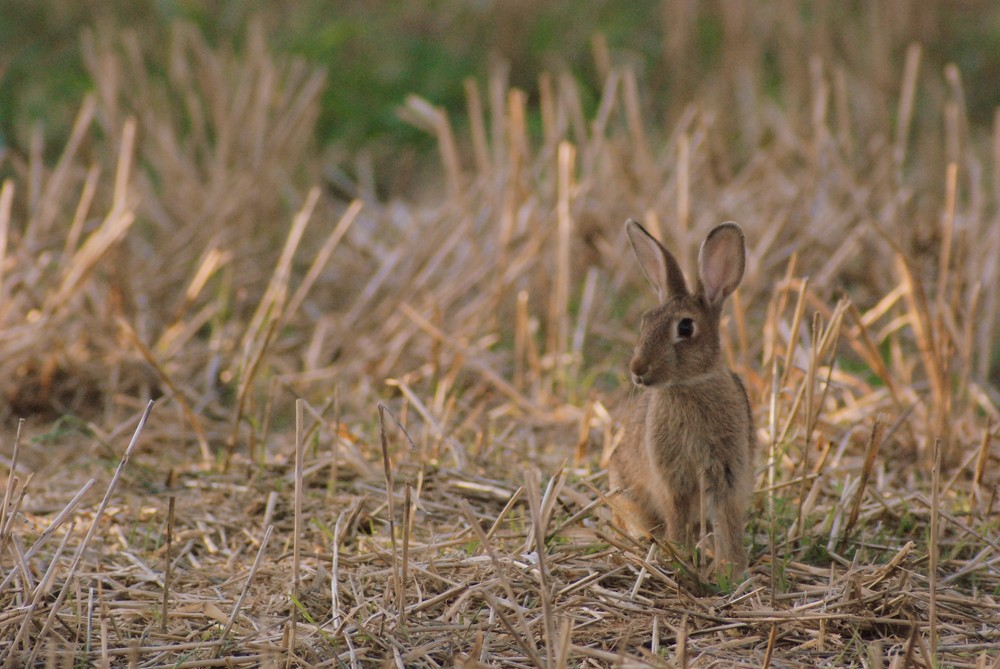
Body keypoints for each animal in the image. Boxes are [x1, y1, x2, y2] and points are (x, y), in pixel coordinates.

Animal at [604, 217, 752, 572]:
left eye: (685, 328)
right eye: (645, 322)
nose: (638, 368)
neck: (689, 386)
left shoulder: (726, 473)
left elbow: (728, 520)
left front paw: (733, 568)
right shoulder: (672, 479)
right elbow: (676, 514)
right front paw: (679, 554)